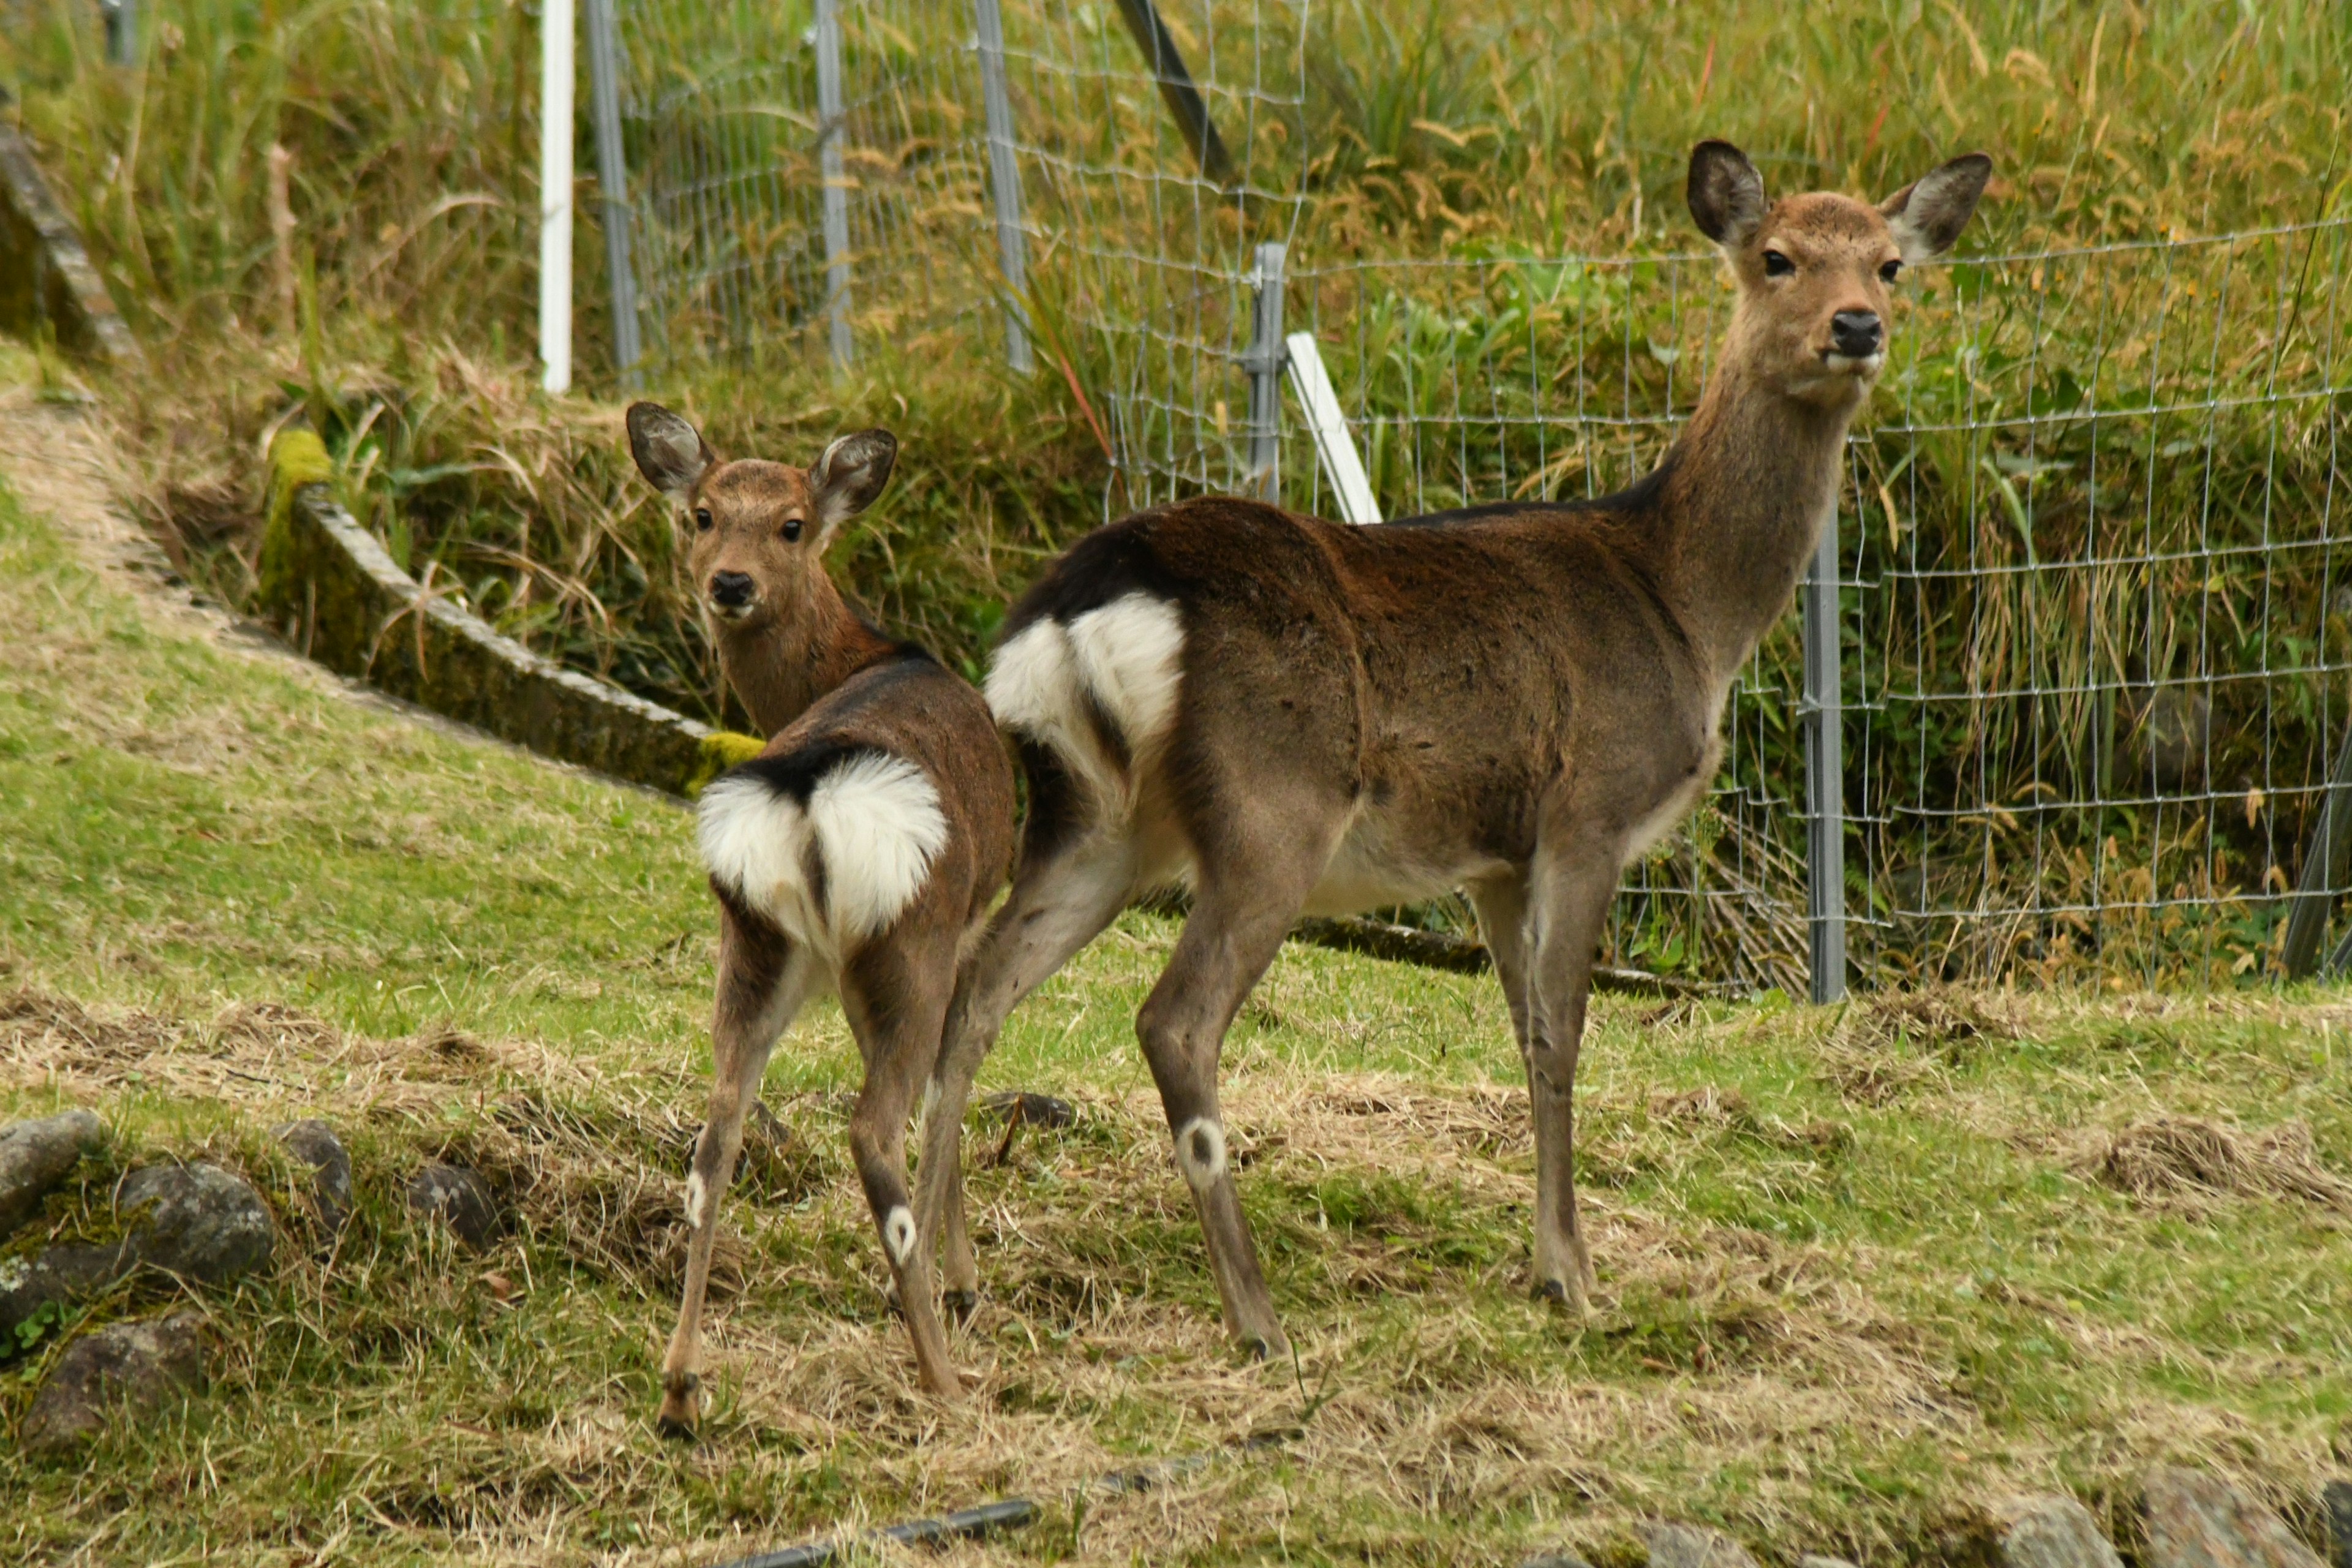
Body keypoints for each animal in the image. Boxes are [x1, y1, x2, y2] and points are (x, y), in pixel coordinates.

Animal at [630, 399, 1016, 1429]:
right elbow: (957, 1082)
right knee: (875, 1130)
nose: (729, 583)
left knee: (717, 1133)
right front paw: (966, 1281)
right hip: (910, 934)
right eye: (703, 514)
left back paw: (680, 1386)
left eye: (791, 524)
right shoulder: (972, 920)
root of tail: (805, 794)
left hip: (756, 943)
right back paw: (945, 1378)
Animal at [908, 138, 1975, 1363]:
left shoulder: (1496, 859)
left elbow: (1521, 1031)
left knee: (977, 988)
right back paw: (1257, 1319)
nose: (1856, 327)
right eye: (1777, 257)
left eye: (1892, 263)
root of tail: (1077, 609)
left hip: (1096, 820)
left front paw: (1544, 1260)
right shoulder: (1590, 810)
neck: (1687, 609)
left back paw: (952, 1280)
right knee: (1173, 1019)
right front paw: (1573, 1277)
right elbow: (1564, 1035)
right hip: (1271, 805)